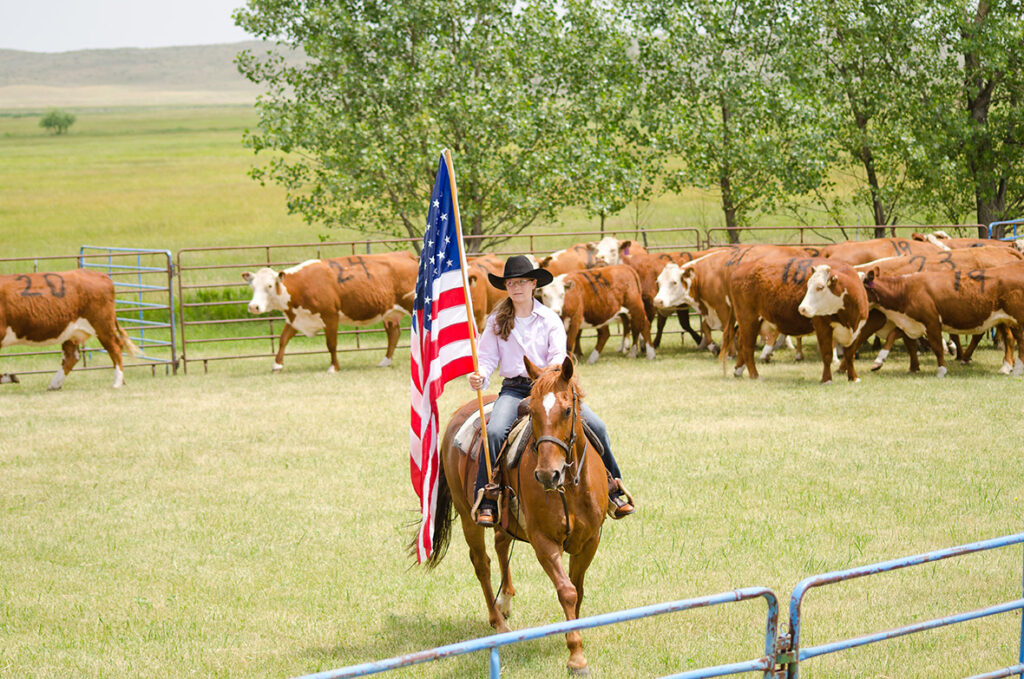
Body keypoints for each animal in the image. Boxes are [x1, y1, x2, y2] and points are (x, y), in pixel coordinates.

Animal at [0, 268, 138, 391]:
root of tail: (100, 275)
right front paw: (10, 377)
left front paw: (10, 377)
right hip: (72, 332)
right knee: (72, 356)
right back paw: (54, 384)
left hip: (102, 325)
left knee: (115, 347)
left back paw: (117, 383)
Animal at [241, 251, 417, 372]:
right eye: (252, 286)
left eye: (269, 285)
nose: (253, 306)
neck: (300, 287)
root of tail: (406, 255)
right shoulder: (296, 317)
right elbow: (283, 339)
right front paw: (277, 365)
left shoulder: (330, 316)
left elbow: (331, 344)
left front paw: (334, 367)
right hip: (389, 313)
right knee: (394, 334)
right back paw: (385, 361)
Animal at [421, 356, 606, 675]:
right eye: (531, 411)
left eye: (567, 410)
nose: (547, 474)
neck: (568, 487)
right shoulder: (544, 542)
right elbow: (567, 590)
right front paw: (576, 657)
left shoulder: (590, 539)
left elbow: (578, 588)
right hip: (468, 516)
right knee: (481, 563)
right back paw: (498, 621)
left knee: (500, 542)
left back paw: (505, 601)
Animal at [724, 258, 868, 383]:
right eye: (808, 285)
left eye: (820, 287)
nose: (802, 308)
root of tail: (741, 268)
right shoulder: (823, 327)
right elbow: (827, 355)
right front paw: (827, 380)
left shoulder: (858, 329)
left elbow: (849, 355)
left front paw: (853, 378)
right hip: (748, 319)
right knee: (747, 347)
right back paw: (755, 375)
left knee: (741, 342)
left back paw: (739, 370)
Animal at [864, 262, 1024, 376]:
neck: (906, 290)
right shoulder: (912, 323)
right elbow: (892, 335)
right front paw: (878, 361)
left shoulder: (932, 322)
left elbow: (937, 347)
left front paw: (941, 370)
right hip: (1004, 320)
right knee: (1011, 339)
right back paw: (1007, 367)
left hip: (1017, 319)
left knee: (1020, 341)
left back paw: (1015, 369)